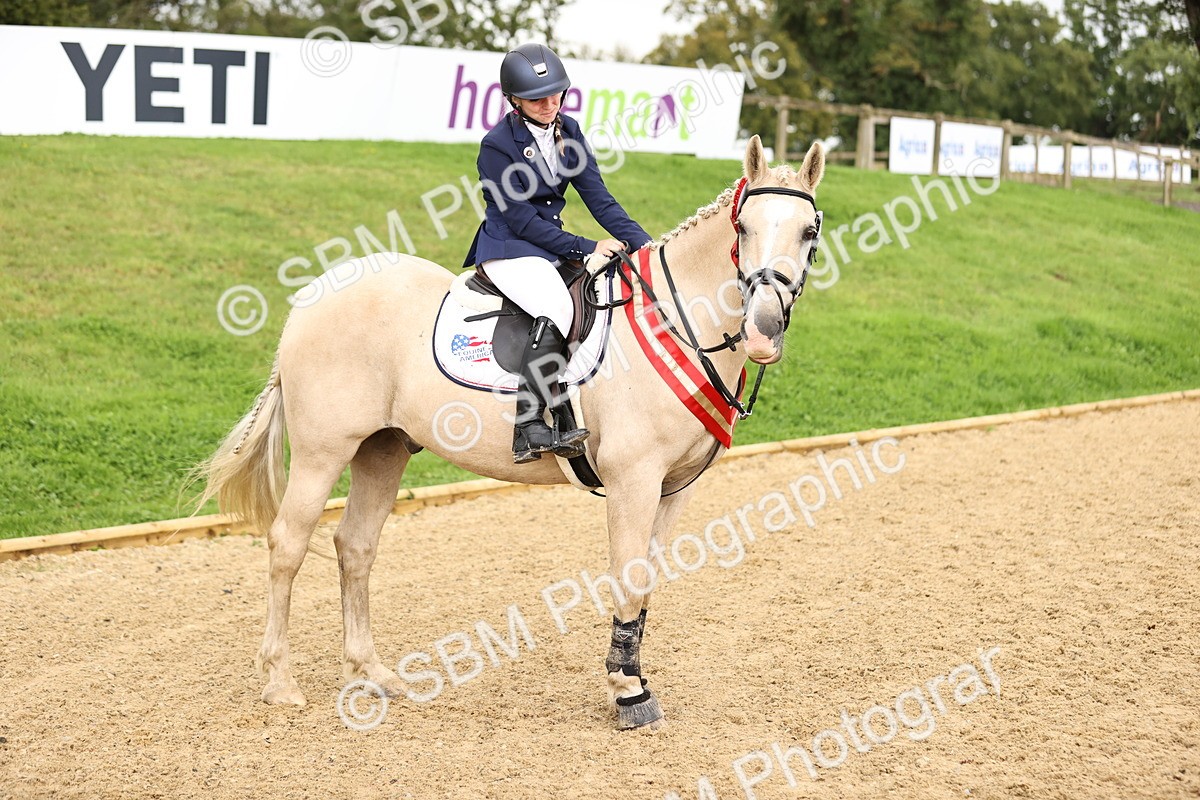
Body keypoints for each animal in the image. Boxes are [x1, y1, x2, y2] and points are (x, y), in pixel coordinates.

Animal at [195, 135, 826, 730]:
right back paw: (280, 682)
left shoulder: (674, 488)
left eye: (809, 231)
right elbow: (626, 576)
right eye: (743, 228)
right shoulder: (634, 480)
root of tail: (312, 297)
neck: (675, 318)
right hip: (323, 451)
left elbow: (647, 580)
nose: (763, 330)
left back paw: (372, 673)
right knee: (287, 545)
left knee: (355, 546)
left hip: (383, 449)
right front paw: (628, 693)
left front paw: (633, 679)